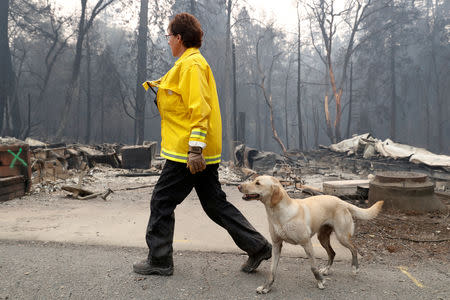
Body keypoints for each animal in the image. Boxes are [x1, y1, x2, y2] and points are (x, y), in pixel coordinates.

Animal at [237, 175, 382, 294]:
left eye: (258, 183)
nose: (239, 186)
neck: (278, 214)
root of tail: (342, 201)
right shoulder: (277, 245)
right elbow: (272, 271)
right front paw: (266, 287)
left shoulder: (307, 243)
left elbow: (313, 267)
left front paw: (320, 281)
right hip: (322, 237)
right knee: (332, 253)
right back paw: (327, 270)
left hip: (342, 236)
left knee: (354, 249)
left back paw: (355, 268)